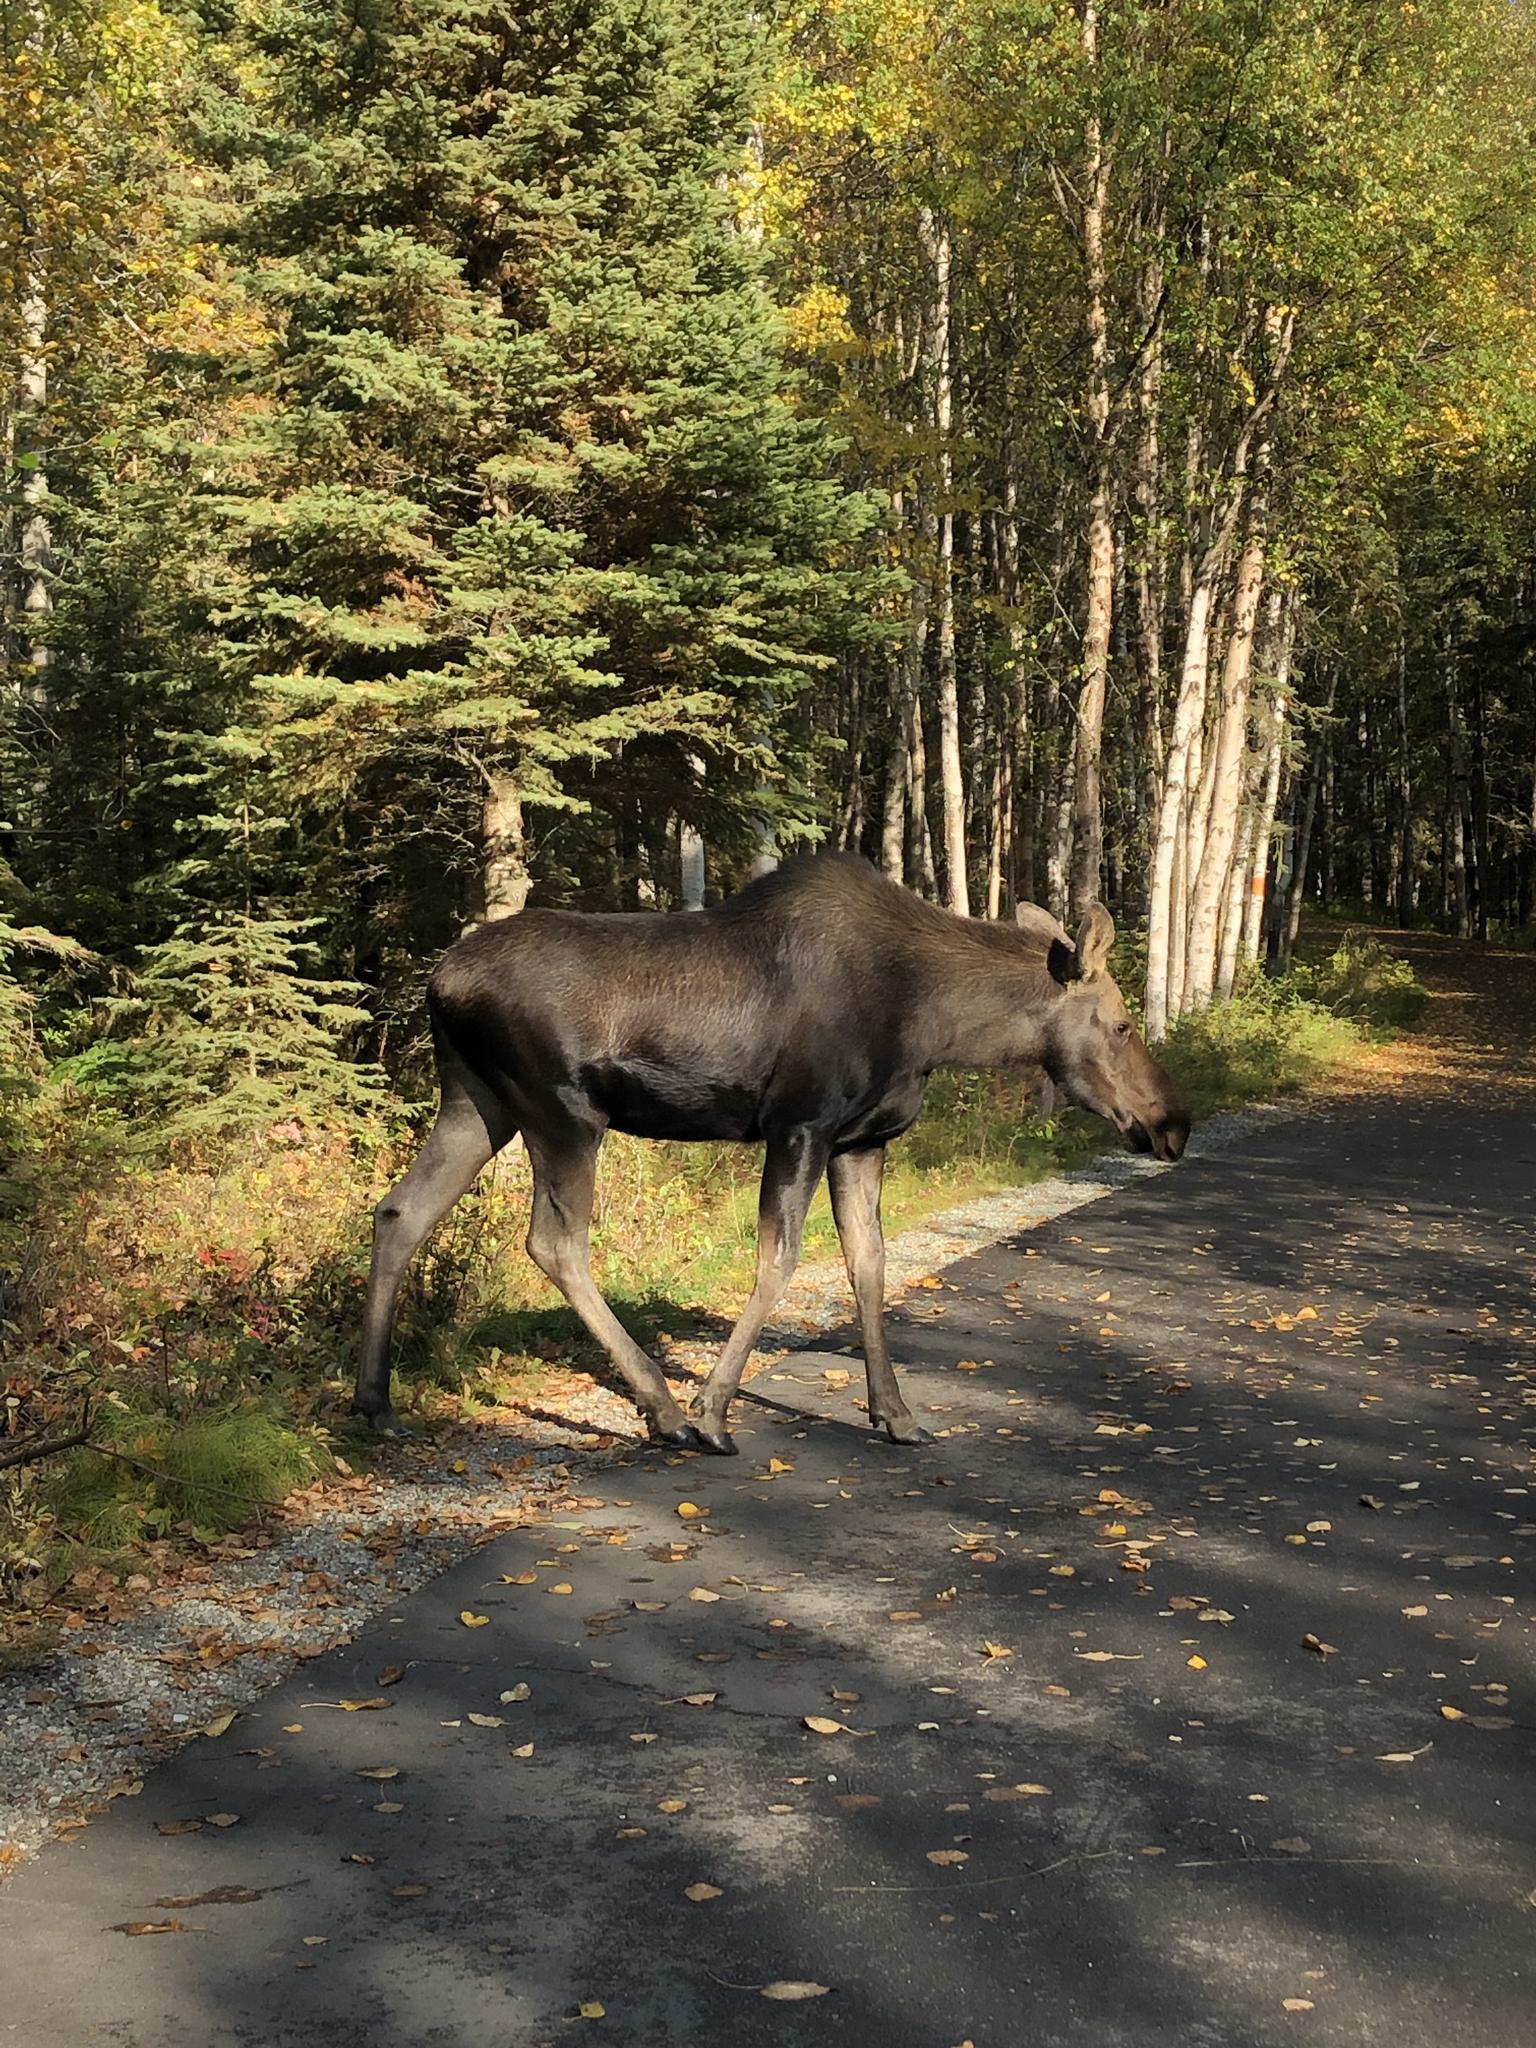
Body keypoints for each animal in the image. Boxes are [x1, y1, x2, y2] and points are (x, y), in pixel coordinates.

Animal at [354, 854, 1190, 1453]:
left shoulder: (862, 1140)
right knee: (554, 1242)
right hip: (560, 1112)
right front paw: (713, 1409)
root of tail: (438, 982)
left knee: (400, 1210)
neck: (936, 1024)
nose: (1174, 1123)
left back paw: (376, 1403)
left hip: (476, 1102)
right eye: (1120, 1023)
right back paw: (665, 1409)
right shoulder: (801, 1124)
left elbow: (868, 1263)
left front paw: (896, 1415)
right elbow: (780, 1259)